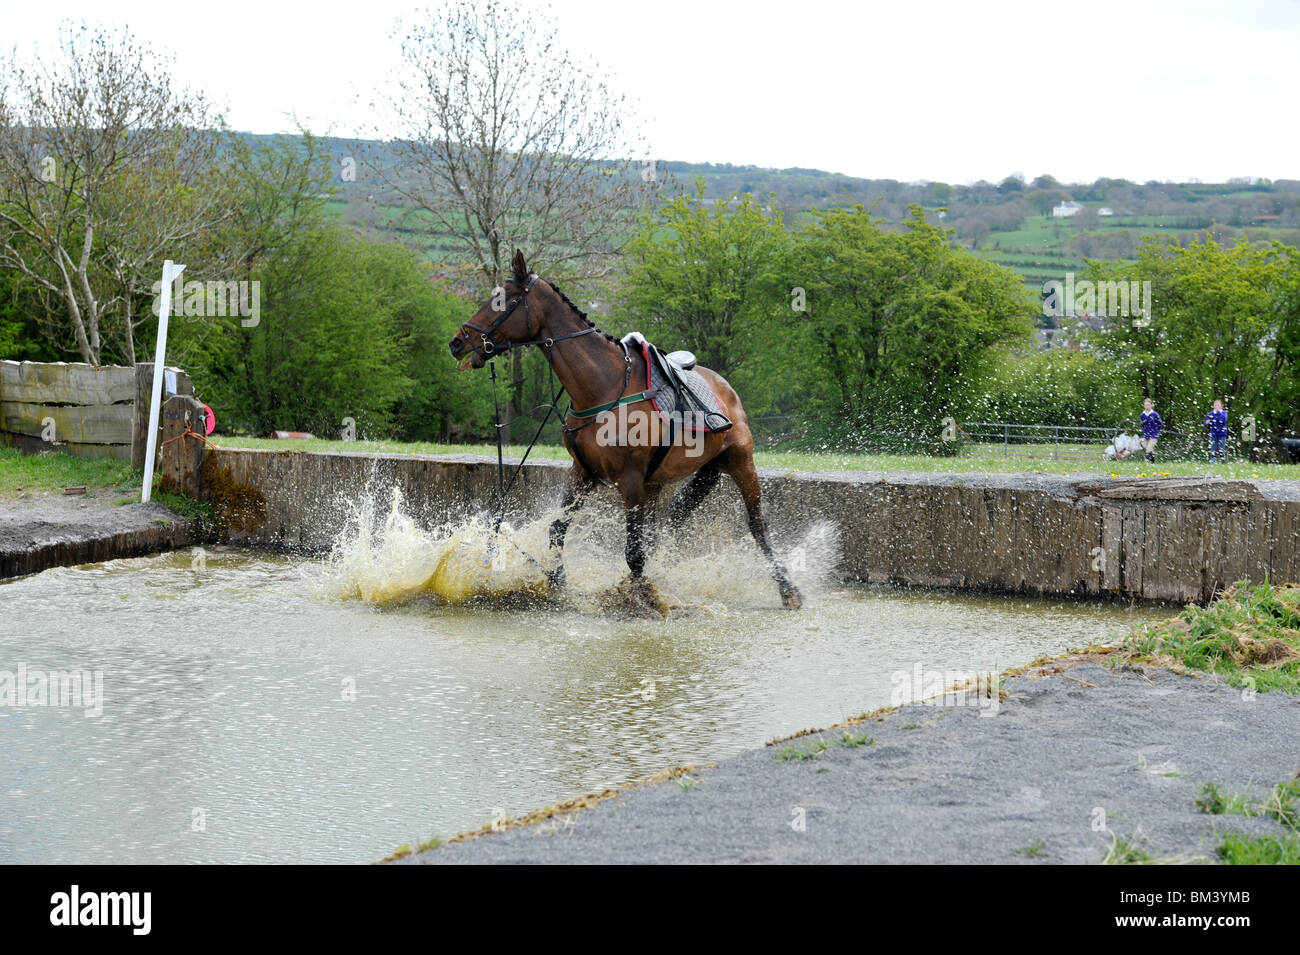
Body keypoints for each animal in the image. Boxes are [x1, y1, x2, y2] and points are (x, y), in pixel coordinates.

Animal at [449, 249, 802, 611]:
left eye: (502, 300)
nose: (457, 342)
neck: (603, 386)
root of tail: (725, 388)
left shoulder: (629, 479)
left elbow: (633, 553)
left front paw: (642, 600)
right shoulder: (583, 472)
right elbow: (559, 529)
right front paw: (558, 581)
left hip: (741, 462)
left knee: (757, 526)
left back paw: (788, 589)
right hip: (662, 480)